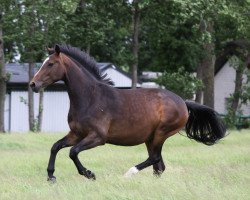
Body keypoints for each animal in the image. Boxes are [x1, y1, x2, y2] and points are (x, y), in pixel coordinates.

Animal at [29, 44, 227, 182]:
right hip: (150, 138)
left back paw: (128, 174)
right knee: (158, 165)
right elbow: (55, 147)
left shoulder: (97, 137)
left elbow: (73, 152)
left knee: (154, 159)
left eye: (51, 64)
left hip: (161, 133)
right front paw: (51, 176)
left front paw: (89, 174)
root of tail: (183, 103)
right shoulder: (76, 133)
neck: (90, 97)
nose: (33, 84)